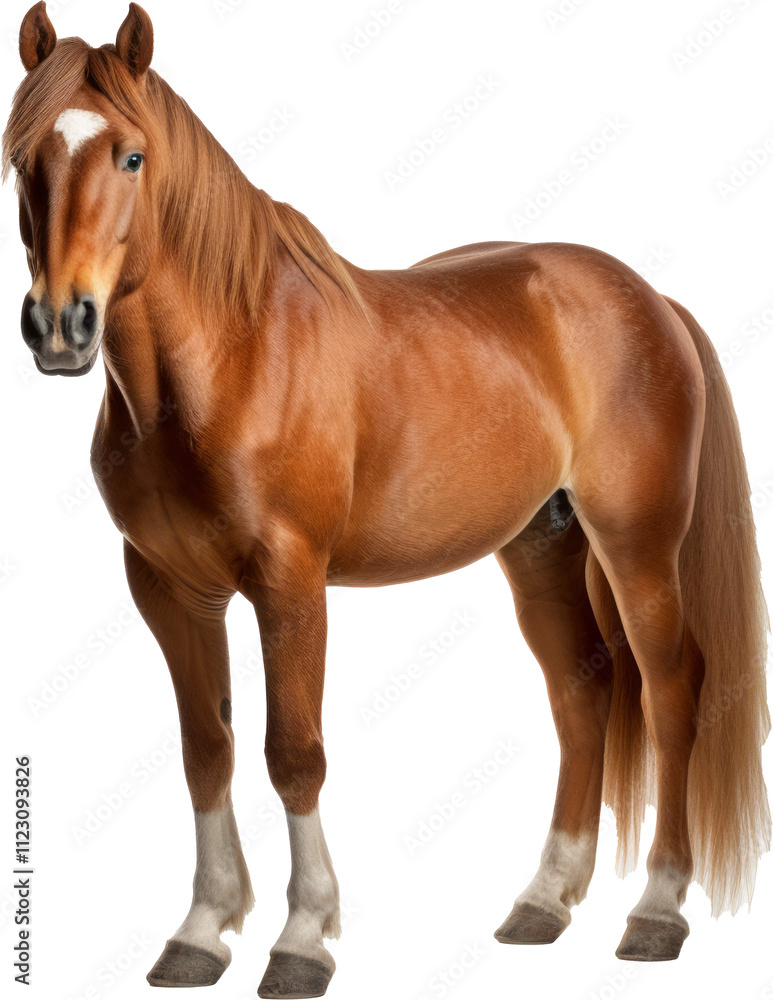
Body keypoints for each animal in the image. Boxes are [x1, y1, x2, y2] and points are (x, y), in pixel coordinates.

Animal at [5, 3, 770, 996]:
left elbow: (293, 754)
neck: (229, 356)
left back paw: (655, 911)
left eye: (131, 156)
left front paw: (302, 939)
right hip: (541, 545)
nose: (60, 326)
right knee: (582, 690)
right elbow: (205, 750)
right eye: (22, 157)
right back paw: (542, 900)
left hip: (636, 543)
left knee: (673, 689)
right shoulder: (171, 590)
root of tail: (651, 299)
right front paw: (202, 931)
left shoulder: (289, 584)